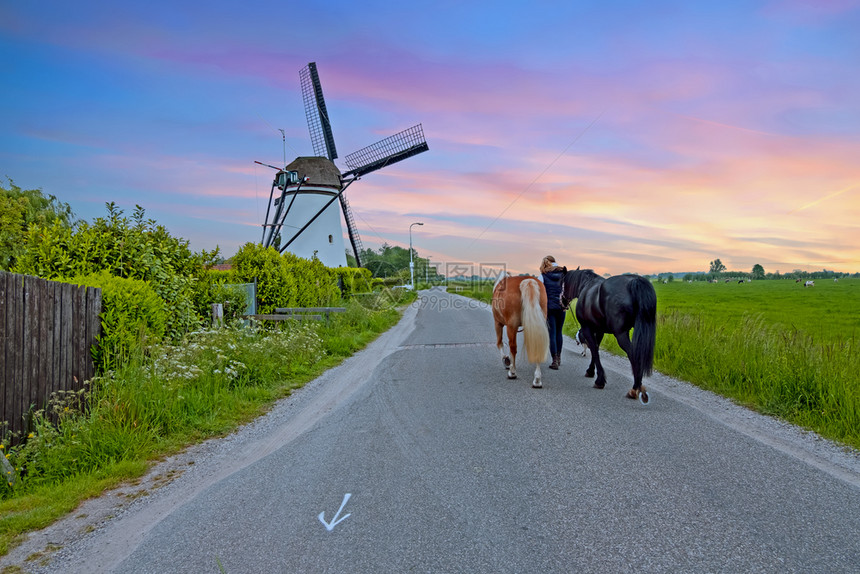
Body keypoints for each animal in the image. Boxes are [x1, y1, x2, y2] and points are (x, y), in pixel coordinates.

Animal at [560, 268, 656, 404]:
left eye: (562, 282)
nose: (562, 302)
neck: (586, 285)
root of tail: (635, 282)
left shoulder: (587, 328)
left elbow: (594, 350)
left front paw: (599, 380)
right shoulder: (599, 330)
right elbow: (595, 349)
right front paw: (591, 371)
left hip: (621, 334)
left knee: (633, 354)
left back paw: (635, 389)